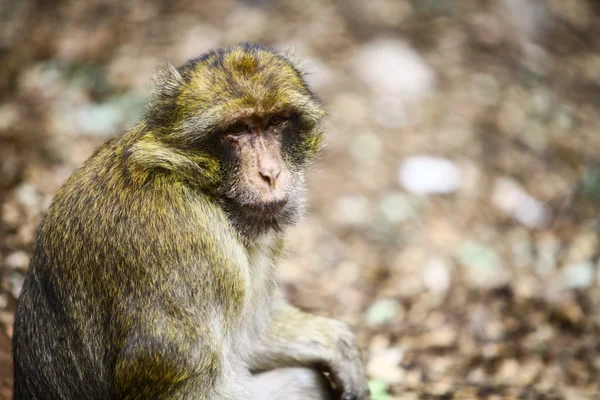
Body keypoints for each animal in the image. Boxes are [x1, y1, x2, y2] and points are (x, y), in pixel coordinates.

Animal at [12, 43, 370, 400]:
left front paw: (335, 342)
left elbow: (249, 336)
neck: (191, 180)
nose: (270, 173)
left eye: (275, 122)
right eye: (238, 129)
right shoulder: (192, 244)